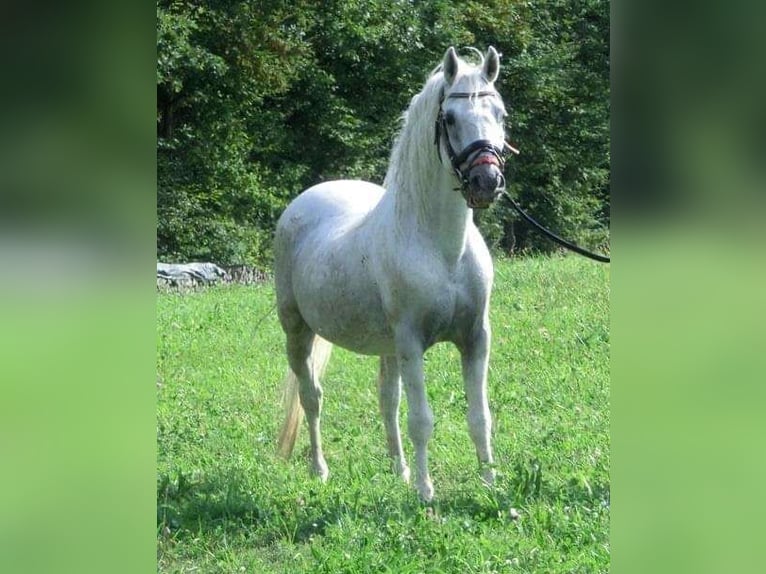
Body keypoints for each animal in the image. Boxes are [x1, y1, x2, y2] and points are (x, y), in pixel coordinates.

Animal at [272, 47, 512, 502]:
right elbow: (422, 420)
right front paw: (425, 493)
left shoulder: (476, 338)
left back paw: (398, 469)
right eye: (449, 118)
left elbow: (480, 416)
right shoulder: (411, 343)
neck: (441, 251)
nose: (486, 181)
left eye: (500, 113)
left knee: (388, 399)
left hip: (386, 347)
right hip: (298, 332)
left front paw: (491, 485)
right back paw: (319, 469)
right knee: (312, 397)